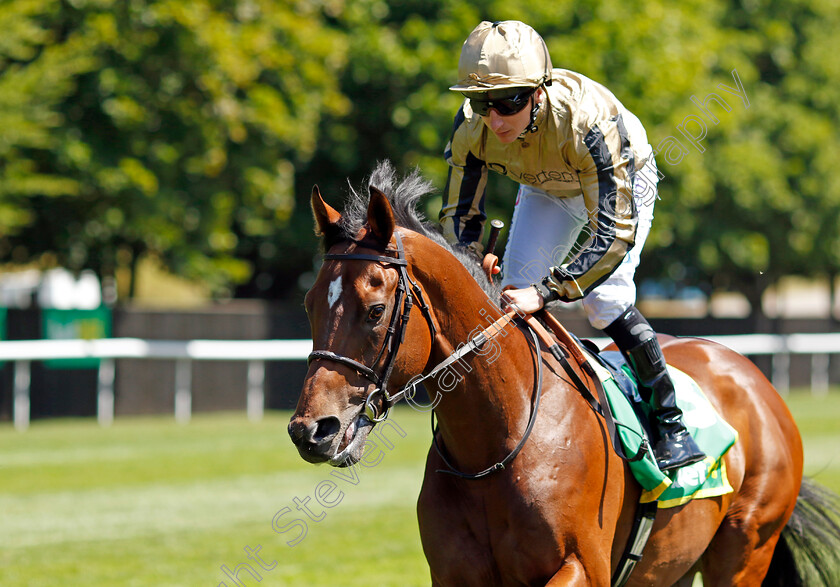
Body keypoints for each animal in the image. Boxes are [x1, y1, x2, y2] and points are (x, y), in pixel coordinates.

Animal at [288, 162, 840, 587]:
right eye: (309, 304)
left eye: (376, 310)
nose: (311, 430)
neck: (496, 444)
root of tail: (752, 376)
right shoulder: (453, 575)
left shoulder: (581, 566)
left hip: (747, 546)